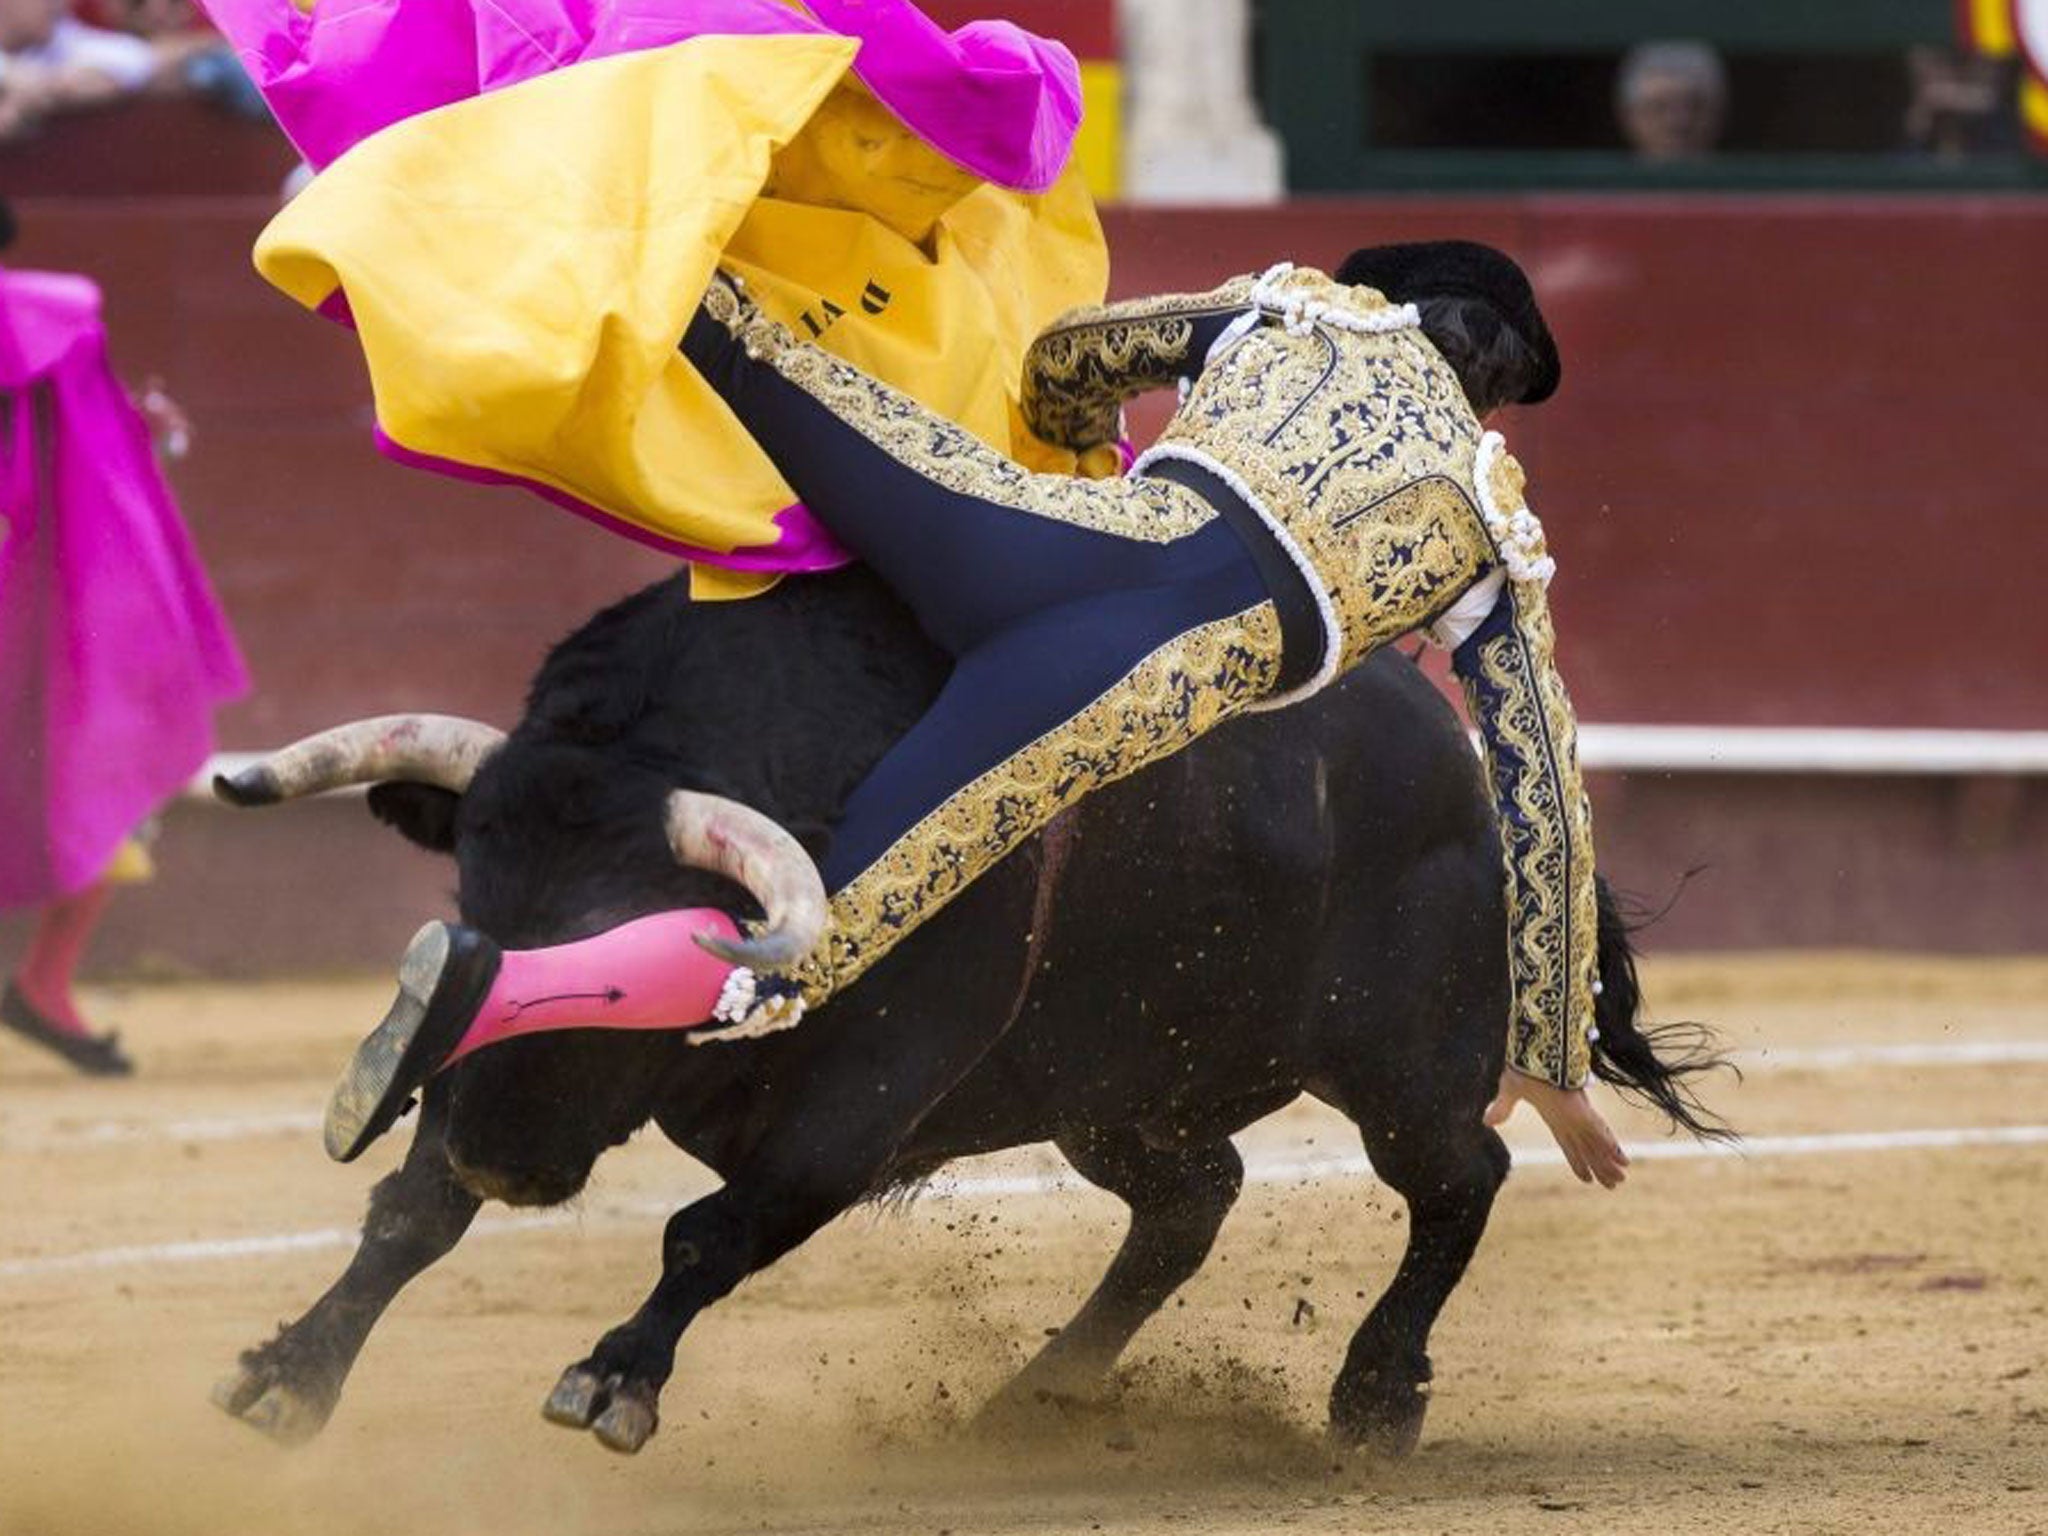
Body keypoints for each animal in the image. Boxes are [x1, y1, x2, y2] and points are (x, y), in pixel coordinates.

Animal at [211, 561, 1712, 1458]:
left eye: (649, 944)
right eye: (472, 896)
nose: (499, 1155)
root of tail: (1464, 756)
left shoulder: (859, 1107)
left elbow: (711, 1231)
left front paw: (614, 1379)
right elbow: (410, 1215)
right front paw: (289, 1372)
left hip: (1397, 1061)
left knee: (1460, 1177)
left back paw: (1374, 1399)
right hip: (1119, 1095)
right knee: (1190, 1204)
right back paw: (1032, 1399)